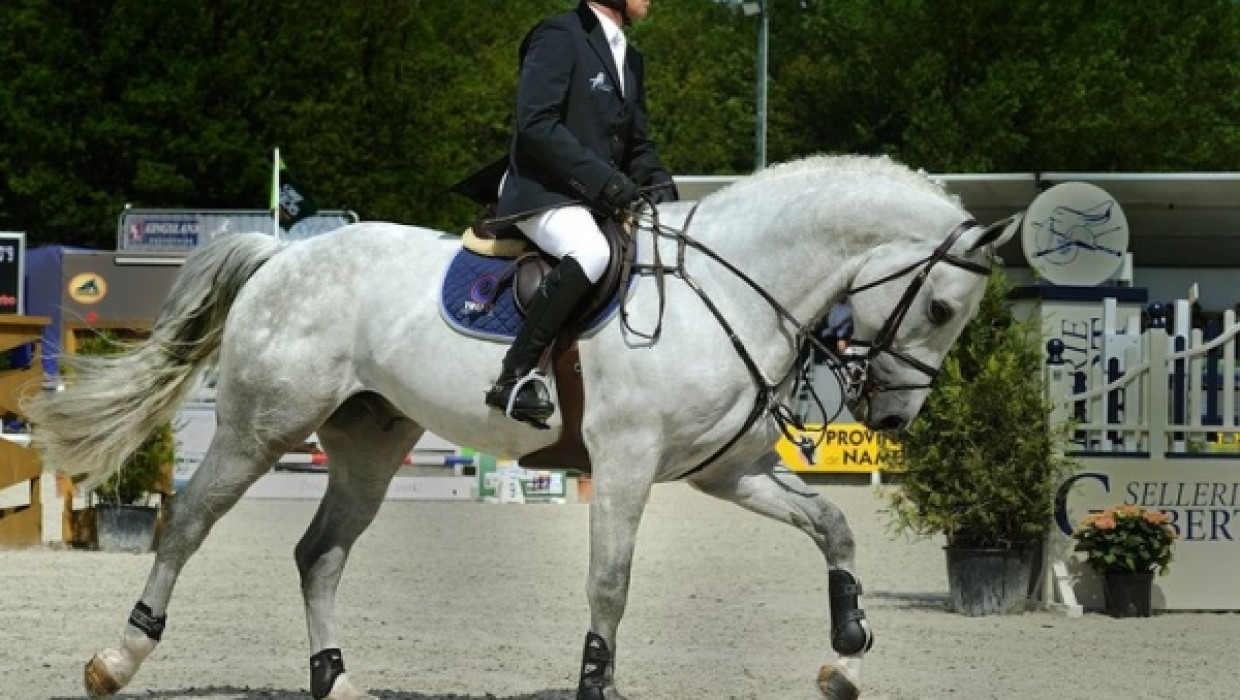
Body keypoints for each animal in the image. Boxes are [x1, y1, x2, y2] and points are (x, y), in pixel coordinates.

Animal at [29, 154, 1016, 698]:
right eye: (938, 307)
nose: (891, 413)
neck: (732, 286)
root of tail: (284, 252)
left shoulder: (724, 471)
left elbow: (835, 525)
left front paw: (846, 659)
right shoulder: (625, 465)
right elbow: (609, 585)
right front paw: (595, 685)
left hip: (368, 444)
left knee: (320, 554)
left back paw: (336, 680)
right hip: (258, 428)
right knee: (188, 522)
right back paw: (116, 660)